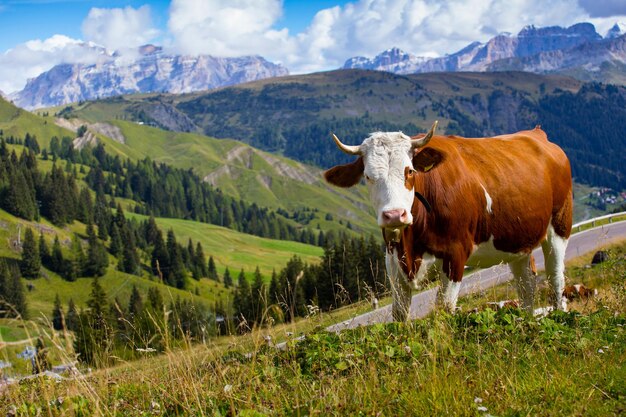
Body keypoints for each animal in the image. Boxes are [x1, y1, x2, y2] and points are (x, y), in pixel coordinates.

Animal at [324, 122, 572, 320]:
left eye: (410, 171)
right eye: (368, 176)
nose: (394, 215)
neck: (411, 245)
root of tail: (537, 134)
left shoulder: (455, 254)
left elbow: (443, 308)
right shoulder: (393, 262)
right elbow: (399, 314)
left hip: (559, 226)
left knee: (556, 279)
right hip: (516, 243)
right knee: (526, 285)